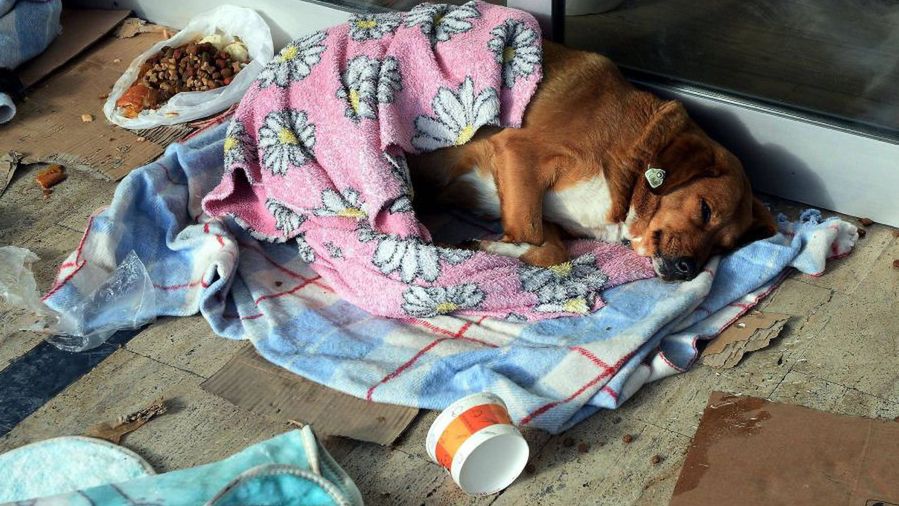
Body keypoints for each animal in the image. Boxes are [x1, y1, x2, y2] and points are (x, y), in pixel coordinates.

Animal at [407, 42, 776, 281]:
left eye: (723, 247)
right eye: (705, 210)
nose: (689, 270)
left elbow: (551, 251)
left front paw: (483, 247)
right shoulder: (519, 154)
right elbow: (531, 233)